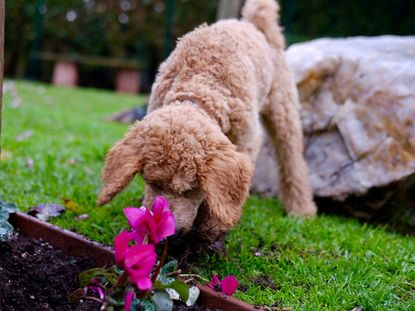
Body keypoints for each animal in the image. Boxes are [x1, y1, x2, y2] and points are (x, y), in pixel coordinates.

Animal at [99, 0, 316, 243]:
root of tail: (255, 25)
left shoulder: (246, 142)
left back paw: (301, 209)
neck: (200, 85)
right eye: (153, 183)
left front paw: (212, 223)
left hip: (283, 110)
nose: (164, 237)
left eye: (189, 189)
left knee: (292, 160)